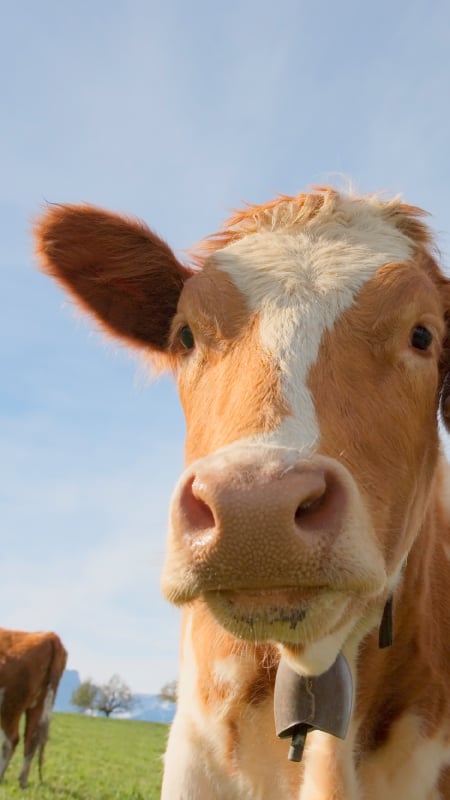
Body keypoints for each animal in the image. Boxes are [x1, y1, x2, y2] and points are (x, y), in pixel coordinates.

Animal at [0, 628, 67, 787]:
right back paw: (23, 780)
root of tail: (49, 636)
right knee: (32, 739)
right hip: (37, 705)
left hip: (10, 705)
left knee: (11, 740)